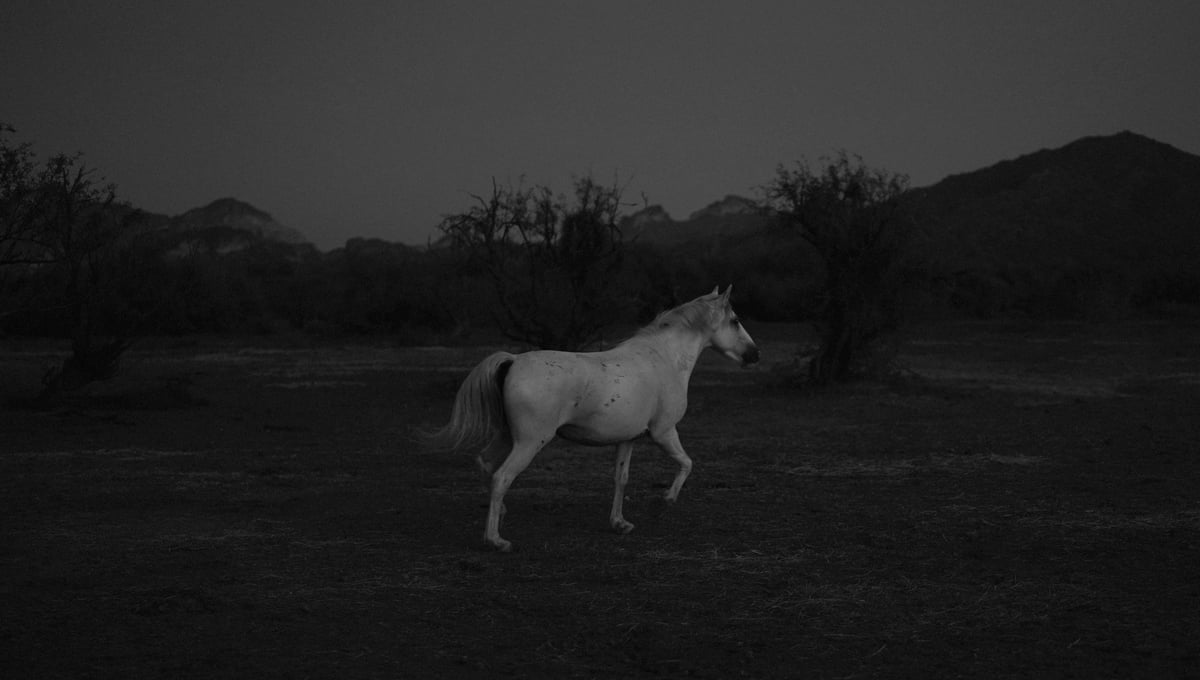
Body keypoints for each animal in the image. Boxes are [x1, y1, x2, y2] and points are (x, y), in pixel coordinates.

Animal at [427, 285, 759, 551]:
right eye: (735, 320)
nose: (754, 355)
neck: (663, 359)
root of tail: (513, 360)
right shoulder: (664, 432)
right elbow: (687, 464)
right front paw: (665, 500)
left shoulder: (628, 440)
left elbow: (621, 479)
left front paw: (620, 523)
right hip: (529, 443)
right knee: (501, 477)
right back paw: (495, 540)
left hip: (507, 436)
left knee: (485, 464)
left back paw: (501, 515)